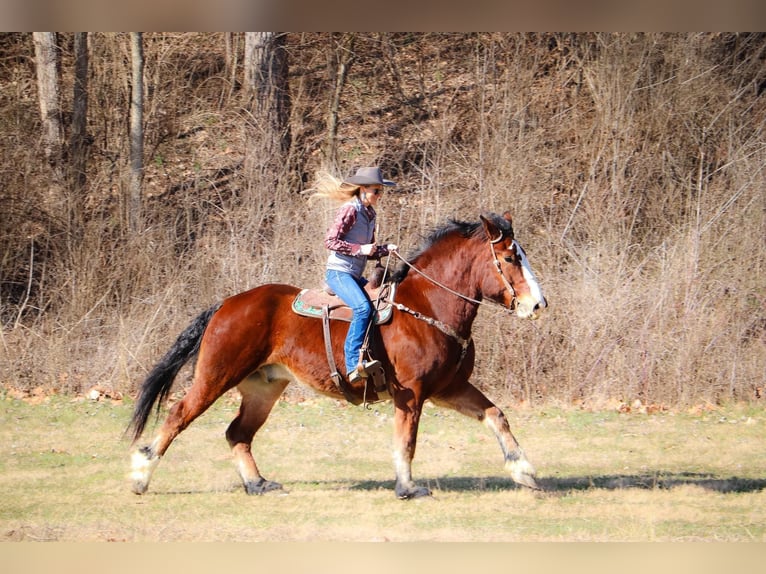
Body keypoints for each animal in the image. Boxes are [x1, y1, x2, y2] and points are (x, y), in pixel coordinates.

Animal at [126, 212, 548, 500]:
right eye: (510, 259)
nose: (538, 304)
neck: (427, 306)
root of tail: (227, 304)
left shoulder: (449, 388)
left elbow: (496, 415)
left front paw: (524, 471)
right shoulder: (411, 393)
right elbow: (406, 441)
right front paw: (407, 488)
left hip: (263, 388)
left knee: (238, 433)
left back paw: (258, 483)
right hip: (216, 374)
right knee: (179, 415)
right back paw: (140, 476)